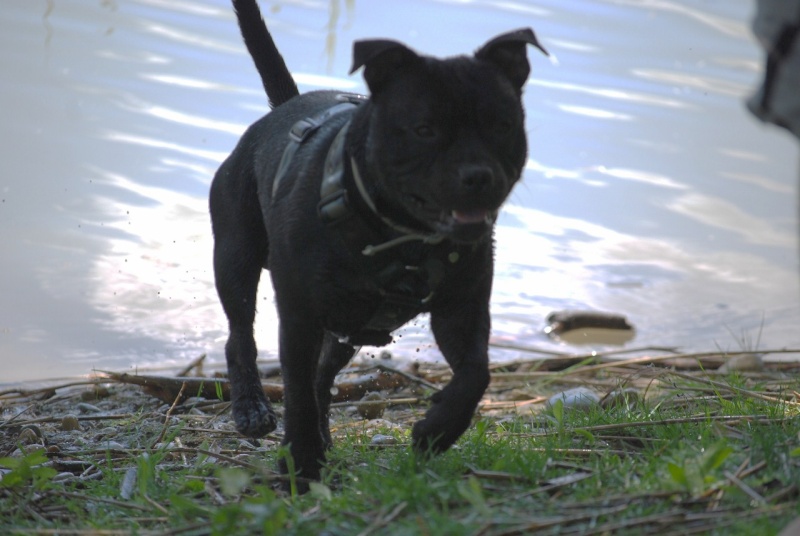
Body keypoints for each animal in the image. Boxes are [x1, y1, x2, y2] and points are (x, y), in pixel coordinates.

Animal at [211, 0, 552, 486]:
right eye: (424, 129)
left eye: (503, 125)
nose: (479, 176)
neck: (404, 236)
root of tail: (281, 109)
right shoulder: (299, 315)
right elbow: (295, 391)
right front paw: (303, 464)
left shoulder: (462, 310)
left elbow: (476, 373)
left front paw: (436, 430)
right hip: (235, 255)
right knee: (241, 334)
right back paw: (253, 410)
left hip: (347, 326)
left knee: (322, 376)